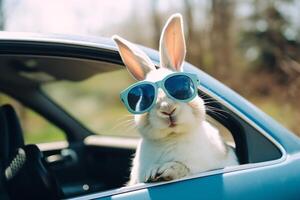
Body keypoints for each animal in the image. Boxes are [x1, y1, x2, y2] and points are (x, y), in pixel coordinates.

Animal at [112, 13, 239, 186]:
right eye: (144, 98)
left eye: (183, 88)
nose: (167, 109)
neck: (172, 136)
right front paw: (152, 172)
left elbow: (184, 167)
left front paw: (164, 171)